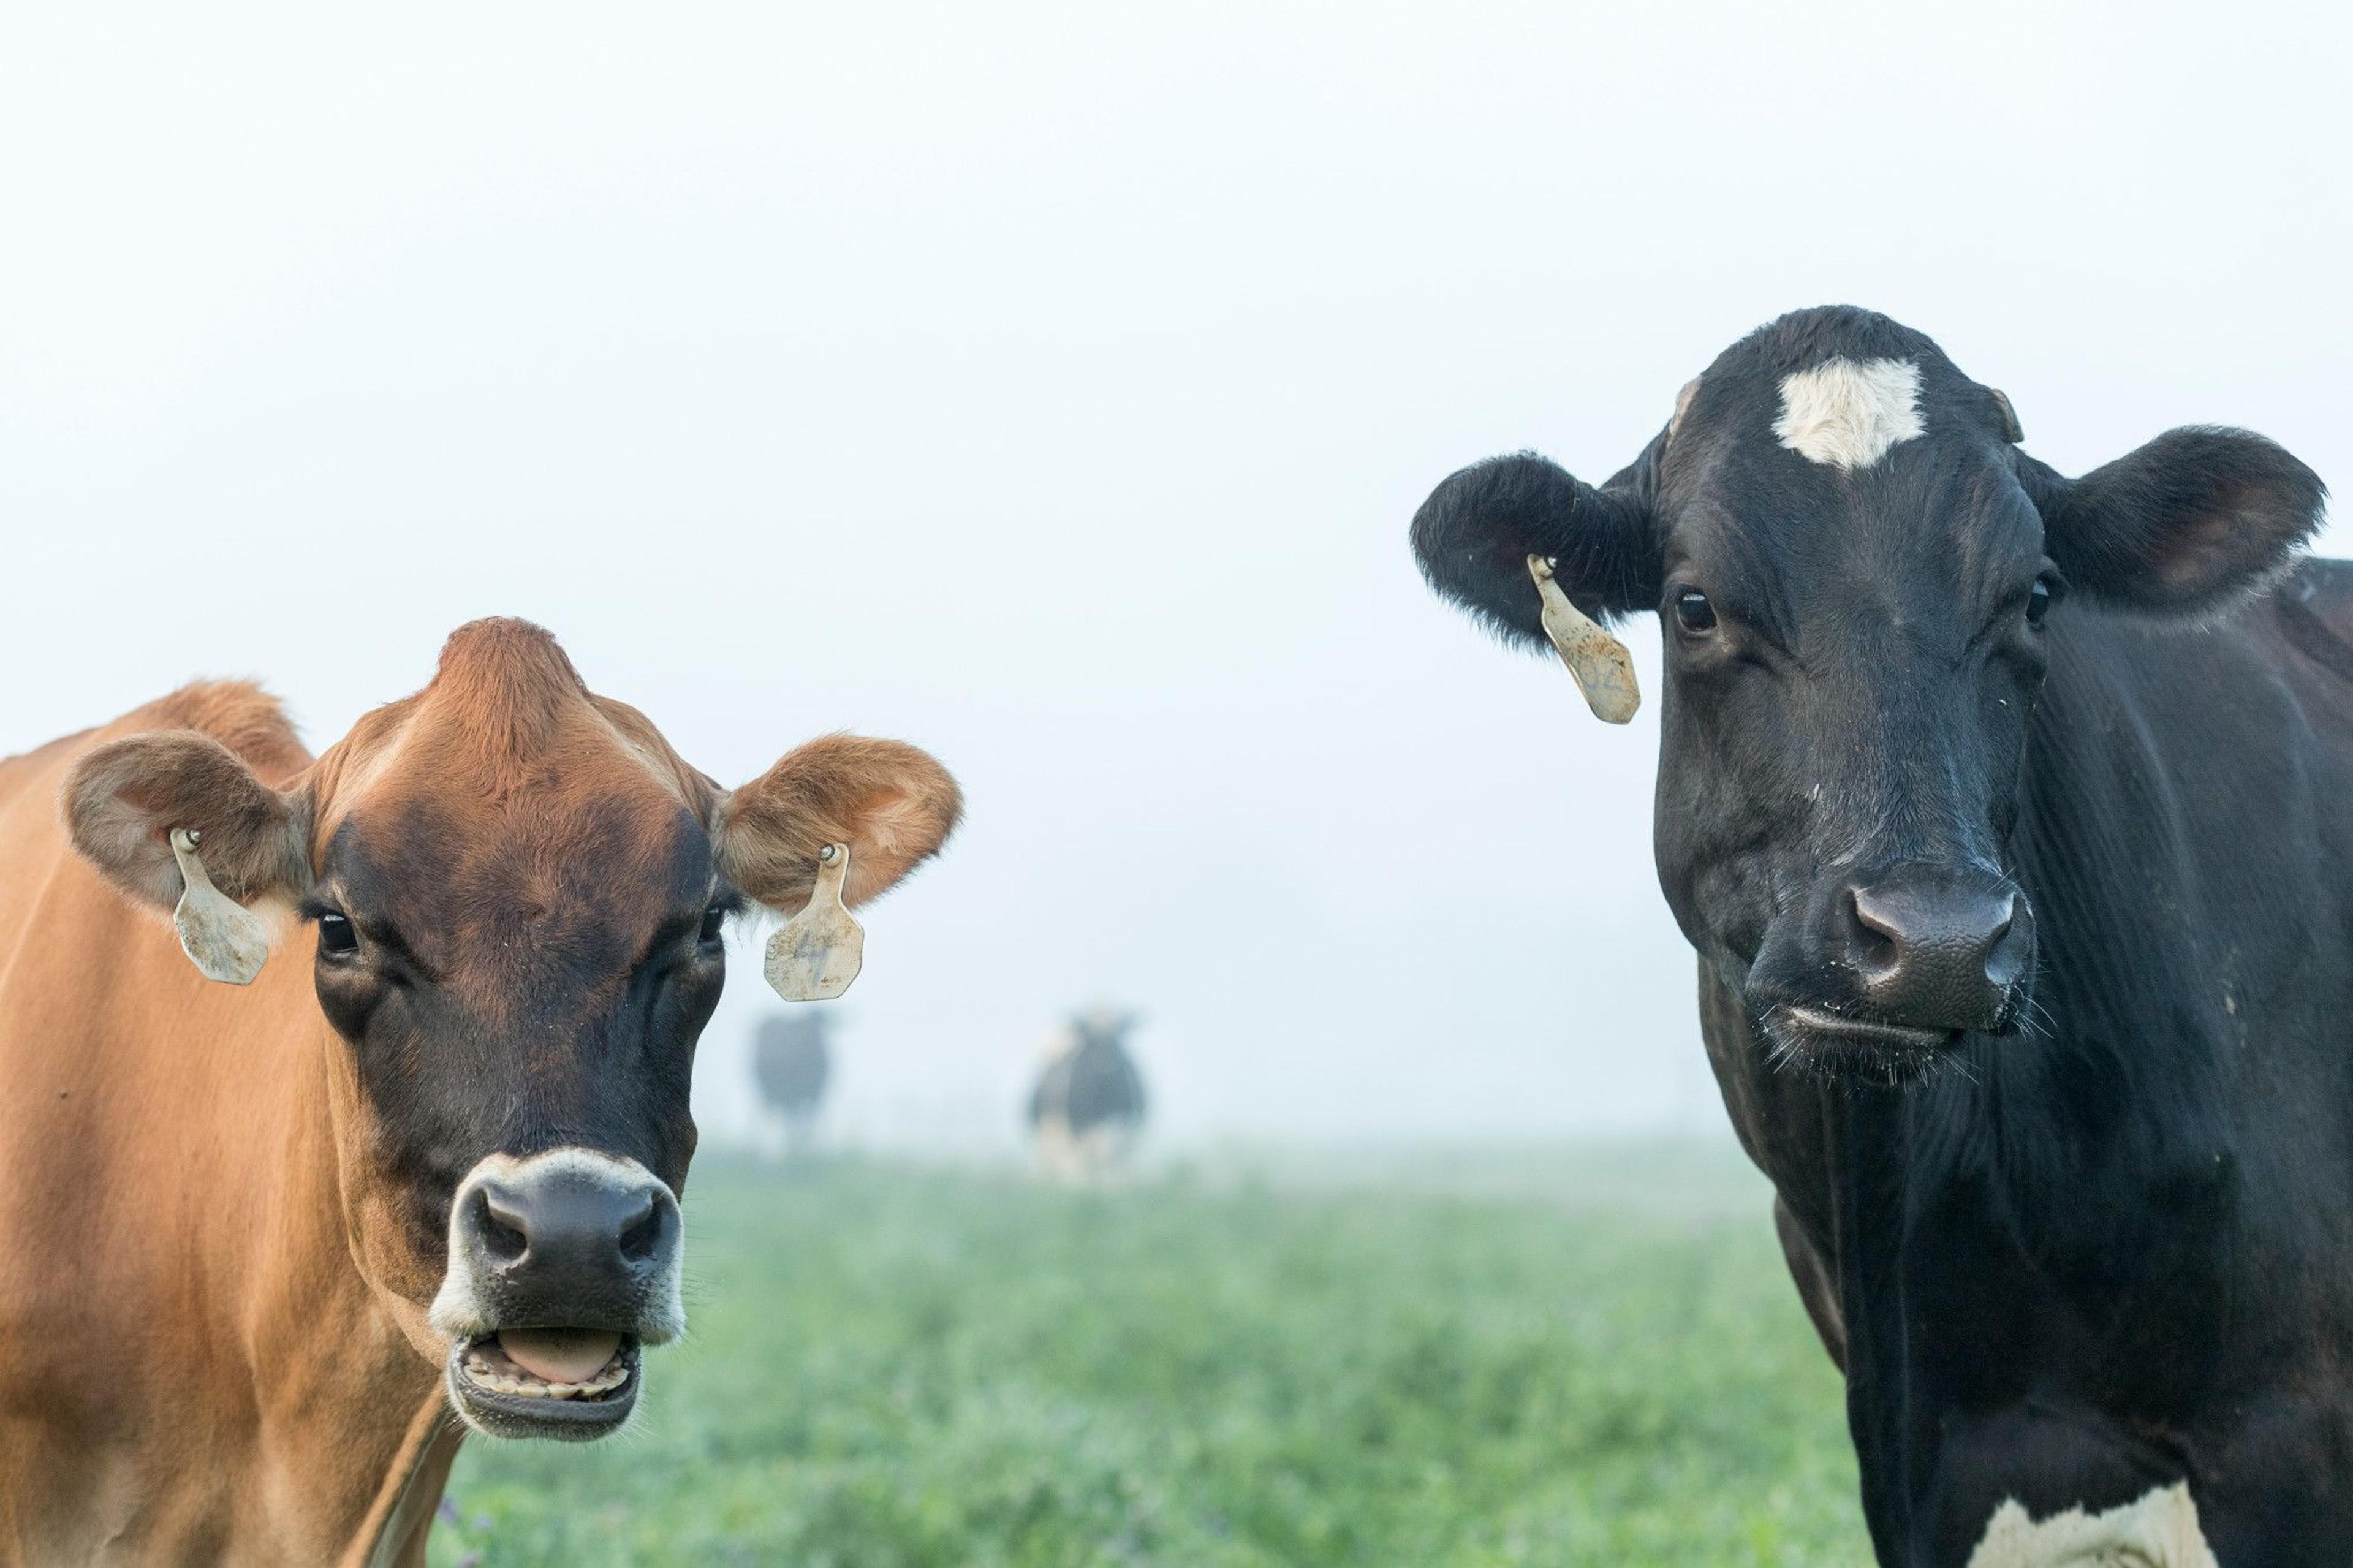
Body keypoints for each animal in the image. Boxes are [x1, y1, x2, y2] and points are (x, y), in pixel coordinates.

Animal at [1026, 1007, 1143, 1177]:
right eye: (1091, 1038)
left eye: (1117, 1036)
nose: (1105, 1062)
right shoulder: (1077, 1127)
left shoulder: (1123, 1126)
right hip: (1050, 1137)